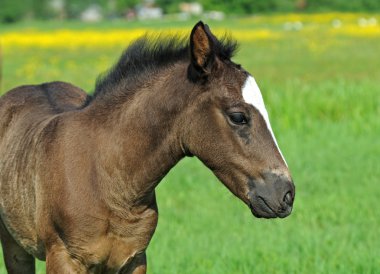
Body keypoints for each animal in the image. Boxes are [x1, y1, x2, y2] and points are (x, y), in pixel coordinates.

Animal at [0, 22, 294, 272]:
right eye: (238, 117)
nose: (286, 194)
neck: (107, 177)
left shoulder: (134, 258)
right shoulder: (64, 259)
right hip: (15, 246)